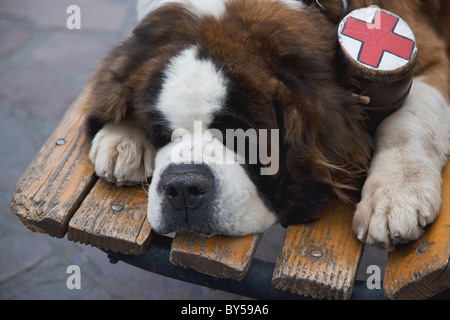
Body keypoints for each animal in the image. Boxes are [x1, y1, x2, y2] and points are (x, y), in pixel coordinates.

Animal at [85, 0, 450, 250]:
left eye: (244, 138)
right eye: (159, 133)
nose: (184, 187)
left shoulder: (426, 60)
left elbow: (409, 120)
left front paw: (396, 193)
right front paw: (122, 137)